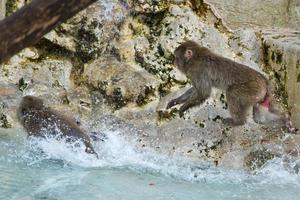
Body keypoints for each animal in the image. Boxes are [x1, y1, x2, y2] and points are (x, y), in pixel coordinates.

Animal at [166, 40, 298, 133]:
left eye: (176, 57)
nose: (174, 62)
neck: (195, 56)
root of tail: (264, 81)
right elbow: (196, 89)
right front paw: (175, 101)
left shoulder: (197, 69)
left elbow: (203, 92)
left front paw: (183, 108)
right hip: (261, 96)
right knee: (261, 117)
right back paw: (286, 119)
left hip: (251, 89)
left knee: (232, 93)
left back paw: (238, 122)